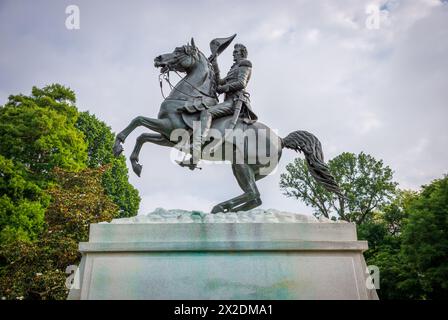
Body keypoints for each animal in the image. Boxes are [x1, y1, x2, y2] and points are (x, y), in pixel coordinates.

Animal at [113, 38, 344, 212]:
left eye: (179, 51)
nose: (158, 58)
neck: (186, 96)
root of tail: (280, 139)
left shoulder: (168, 126)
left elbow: (137, 120)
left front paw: (118, 145)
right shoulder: (167, 138)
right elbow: (142, 136)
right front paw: (135, 164)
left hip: (241, 164)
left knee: (253, 194)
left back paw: (221, 208)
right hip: (247, 169)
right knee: (254, 196)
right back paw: (225, 210)